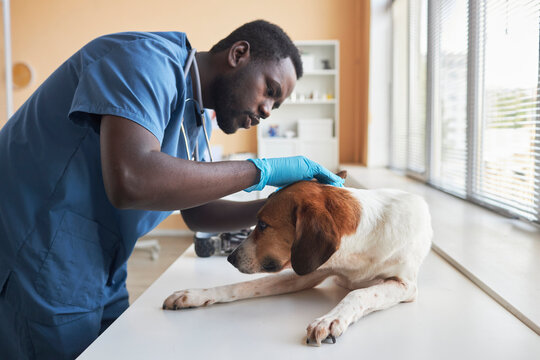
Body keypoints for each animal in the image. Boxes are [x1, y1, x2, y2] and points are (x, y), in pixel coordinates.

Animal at [162, 175, 432, 346]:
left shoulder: (406, 285)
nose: (230, 257)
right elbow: (244, 286)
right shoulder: (309, 271)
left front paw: (330, 318)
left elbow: (359, 294)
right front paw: (195, 295)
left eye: (263, 224)